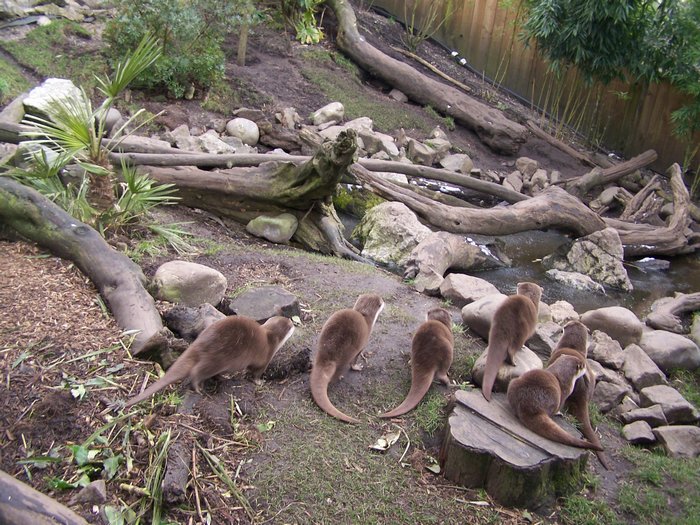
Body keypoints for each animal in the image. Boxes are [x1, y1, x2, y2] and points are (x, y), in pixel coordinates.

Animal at [124, 315, 295, 408]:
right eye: (291, 324)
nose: (295, 323)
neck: (270, 337)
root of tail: (199, 344)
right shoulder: (265, 358)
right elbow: (256, 373)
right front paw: (259, 382)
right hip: (218, 359)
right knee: (197, 372)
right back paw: (199, 388)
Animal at [309, 293, 384, 424]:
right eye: (381, 301)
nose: (384, 300)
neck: (365, 318)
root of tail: (328, 356)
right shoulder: (362, 345)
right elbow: (355, 360)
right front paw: (357, 367)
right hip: (348, 352)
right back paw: (340, 376)